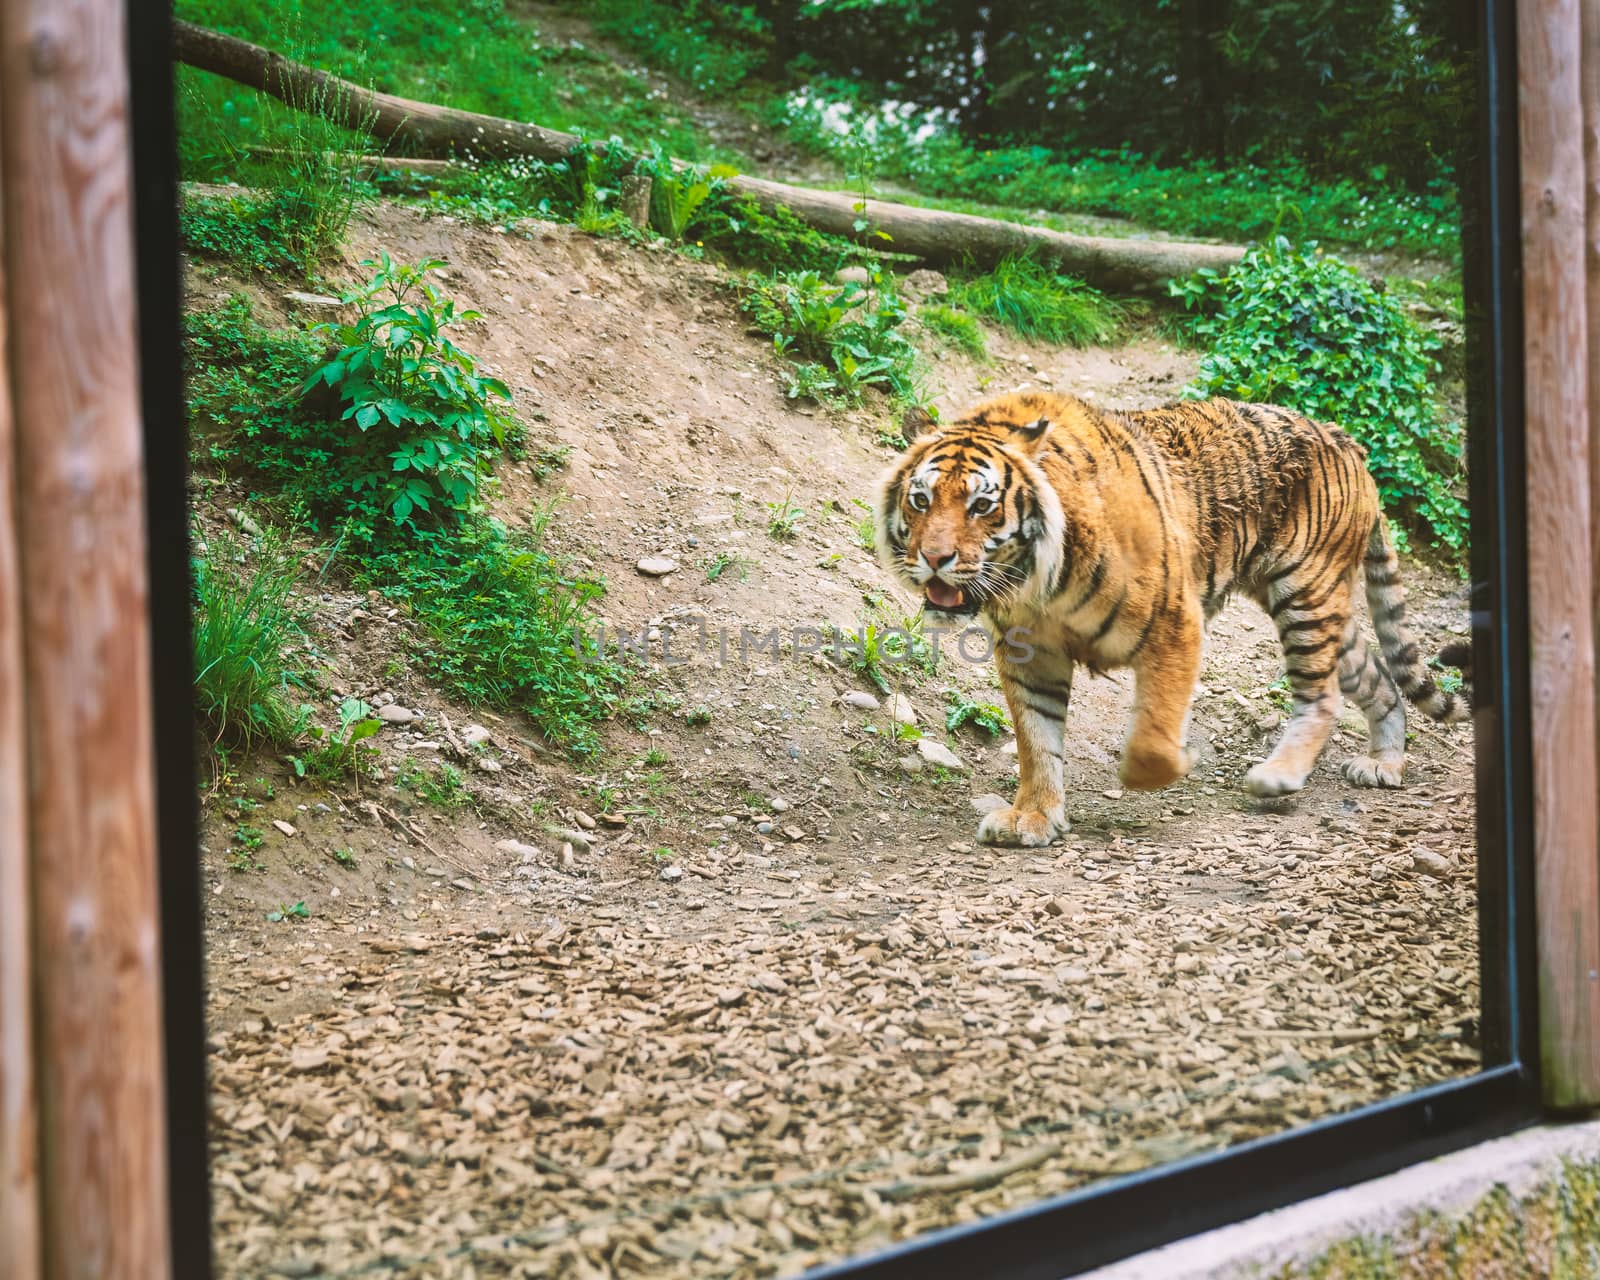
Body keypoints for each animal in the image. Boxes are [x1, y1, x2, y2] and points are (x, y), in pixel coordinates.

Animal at [883, 390, 1465, 851]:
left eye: (981, 506)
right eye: (921, 500)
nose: (934, 558)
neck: (1036, 582)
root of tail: (1348, 440)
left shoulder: (1174, 623)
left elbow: (1152, 734)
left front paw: (1170, 766)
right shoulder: (1031, 651)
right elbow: (1036, 739)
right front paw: (1033, 817)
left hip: (1305, 595)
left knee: (1322, 697)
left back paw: (1277, 777)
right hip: (1329, 616)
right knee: (1379, 678)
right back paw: (1384, 764)